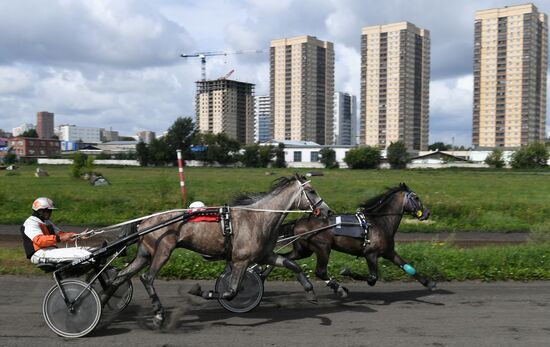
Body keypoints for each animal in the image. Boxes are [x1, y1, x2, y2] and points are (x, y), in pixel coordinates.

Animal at [103, 175, 330, 328]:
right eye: (311, 191)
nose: (328, 211)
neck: (258, 218)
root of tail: (143, 222)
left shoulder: (265, 255)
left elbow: (293, 265)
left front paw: (310, 292)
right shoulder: (240, 260)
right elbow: (231, 292)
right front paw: (200, 291)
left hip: (144, 253)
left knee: (120, 277)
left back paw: (102, 303)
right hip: (163, 250)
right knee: (147, 278)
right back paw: (158, 315)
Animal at [280, 182, 436, 300]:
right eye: (416, 197)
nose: (427, 213)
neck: (379, 222)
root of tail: (298, 222)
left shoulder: (389, 252)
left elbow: (408, 267)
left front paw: (429, 284)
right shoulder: (371, 254)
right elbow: (373, 278)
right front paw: (347, 272)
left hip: (303, 251)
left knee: (286, 259)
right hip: (323, 248)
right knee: (320, 271)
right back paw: (340, 289)